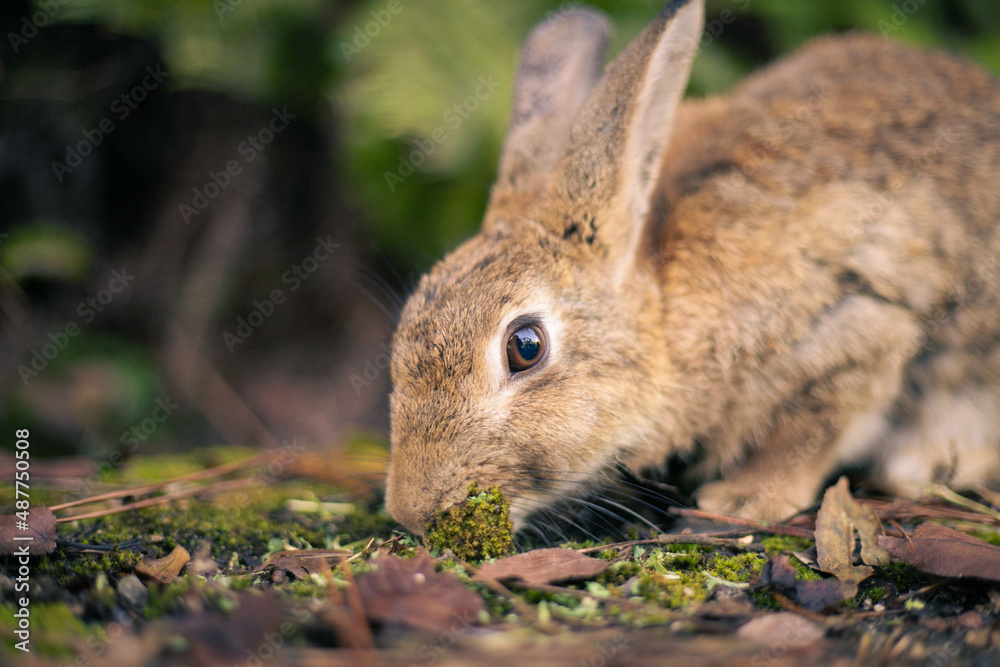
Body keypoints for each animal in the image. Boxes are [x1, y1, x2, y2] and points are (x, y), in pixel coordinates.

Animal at [384, 0, 1000, 535]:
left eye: (526, 346)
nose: (412, 512)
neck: (665, 318)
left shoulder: (854, 325)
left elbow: (810, 433)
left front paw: (744, 498)